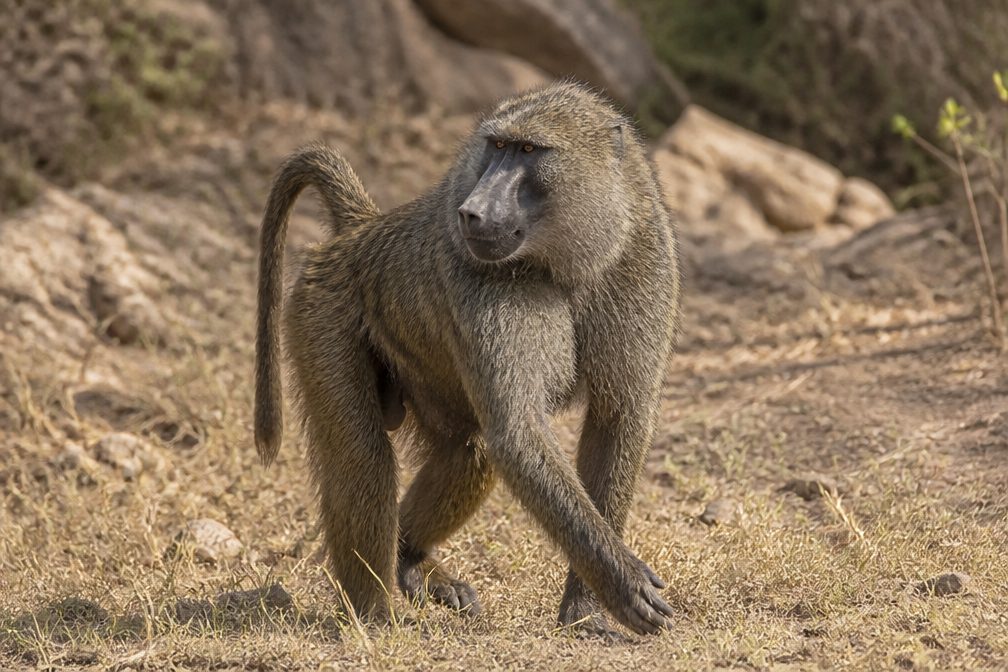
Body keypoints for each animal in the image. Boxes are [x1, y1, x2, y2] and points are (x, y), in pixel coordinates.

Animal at [254, 81, 682, 638]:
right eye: (495, 146)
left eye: (528, 150)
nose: (471, 212)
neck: (571, 260)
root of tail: (361, 230)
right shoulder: (480, 279)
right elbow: (519, 432)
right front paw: (622, 583)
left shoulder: (642, 259)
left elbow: (616, 419)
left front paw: (585, 608)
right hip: (320, 311)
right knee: (363, 458)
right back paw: (373, 617)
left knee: (468, 449)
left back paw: (410, 559)